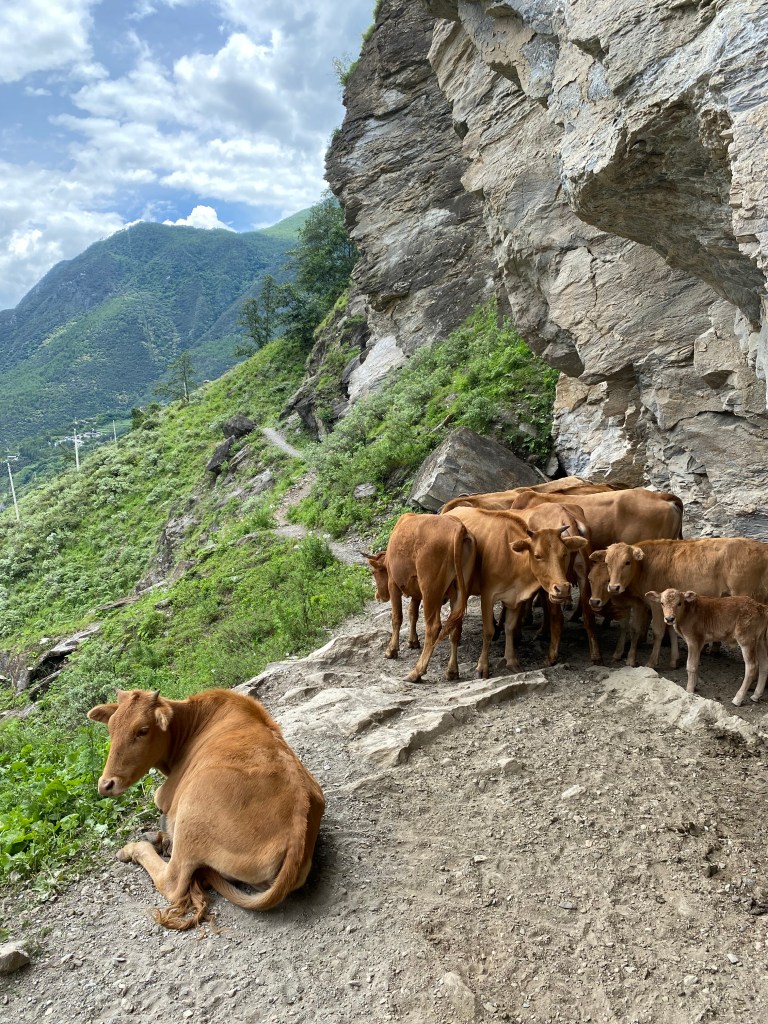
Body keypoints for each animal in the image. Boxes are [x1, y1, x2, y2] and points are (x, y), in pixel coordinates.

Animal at [87, 688, 325, 930]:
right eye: (111, 729)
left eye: (142, 730)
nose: (105, 784)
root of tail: (298, 825)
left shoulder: (164, 794)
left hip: (189, 819)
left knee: (172, 882)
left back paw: (136, 848)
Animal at [364, 512, 476, 682]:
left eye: (373, 572)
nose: (378, 596)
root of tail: (458, 527)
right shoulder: (416, 591)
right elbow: (412, 613)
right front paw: (413, 641)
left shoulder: (393, 584)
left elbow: (397, 617)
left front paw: (392, 650)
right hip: (459, 593)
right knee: (455, 628)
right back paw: (452, 671)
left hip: (430, 590)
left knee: (433, 628)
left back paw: (417, 672)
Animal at [445, 505, 588, 676]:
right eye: (537, 555)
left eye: (564, 553)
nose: (562, 588)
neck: (512, 557)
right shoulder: (487, 596)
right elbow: (488, 631)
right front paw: (482, 666)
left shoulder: (516, 597)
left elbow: (510, 628)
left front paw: (511, 661)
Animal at [594, 537, 768, 670]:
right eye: (607, 563)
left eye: (627, 562)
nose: (614, 587)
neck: (646, 566)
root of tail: (762, 547)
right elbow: (671, 630)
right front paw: (674, 660)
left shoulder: (656, 604)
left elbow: (658, 631)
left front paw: (651, 662)